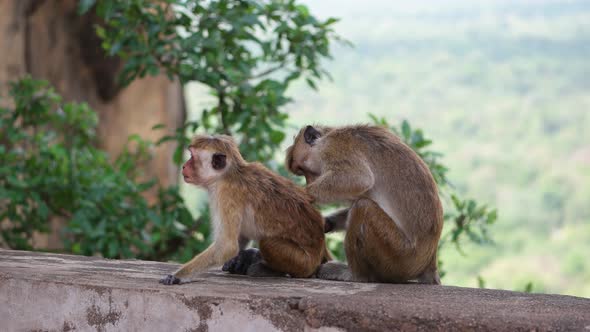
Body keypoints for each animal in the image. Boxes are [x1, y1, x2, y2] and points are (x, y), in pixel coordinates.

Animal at [160, 134, 330, 284]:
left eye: (192, 157)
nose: (184, 166)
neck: (228, 174)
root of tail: (320, 250)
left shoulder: (226, 194)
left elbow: (227, 246)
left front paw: (178, 276)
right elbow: (240, 237)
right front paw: (237, 259)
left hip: (303, 262)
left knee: (268, 243)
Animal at [286, 124, 444, 286]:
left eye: (303, 170)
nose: (309, 182)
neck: (327, 137)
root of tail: (429, 262)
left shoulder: (335, 148)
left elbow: (359, 179)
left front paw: (300, 193)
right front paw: (326, 223)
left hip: (402, 257)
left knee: (363, 207)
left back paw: (354, 275)